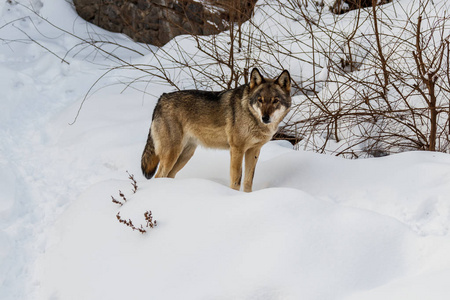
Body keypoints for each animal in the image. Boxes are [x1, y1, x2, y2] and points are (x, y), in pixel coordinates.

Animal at [141, 68, 292, 192]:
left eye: (275, 101)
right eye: (260, 100)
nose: (265, 118)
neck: (250, 115)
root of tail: (162, 98)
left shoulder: (254, 150)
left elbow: (248, 181)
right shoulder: (237, 149)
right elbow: (236, 180)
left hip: (185, 155)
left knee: (168, 176)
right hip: (172, 154)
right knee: (158, 176)